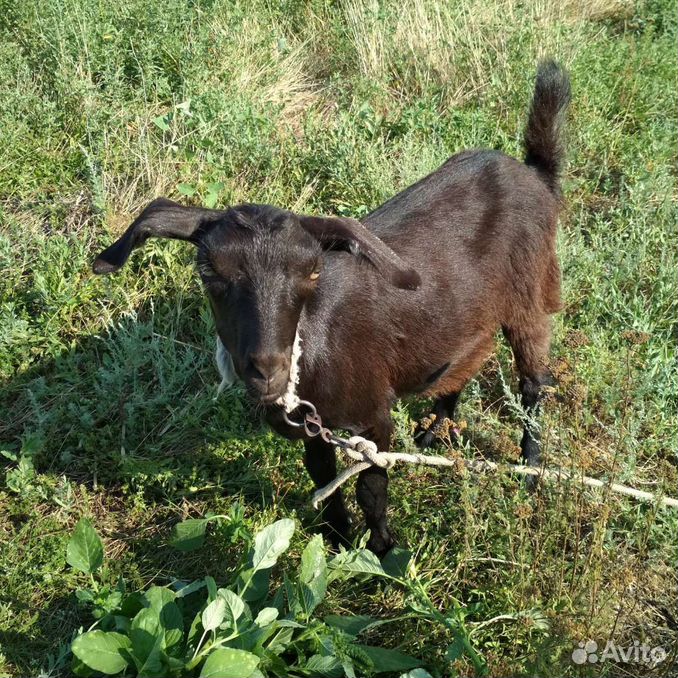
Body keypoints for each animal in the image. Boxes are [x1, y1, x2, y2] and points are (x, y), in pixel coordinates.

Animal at [94, 61, 572, 556]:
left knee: (534, 382)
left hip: (531, 291)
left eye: (312, 272)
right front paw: (338, 539)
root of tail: (533, 174)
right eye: (209, 271)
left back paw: (531, 467)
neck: (313, 347)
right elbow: (323, 479)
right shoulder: (314, 426)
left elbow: (371, 487)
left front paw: (382, 550)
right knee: (464, 357)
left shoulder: (373, 420)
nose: (267, 369)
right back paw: (435, 430)